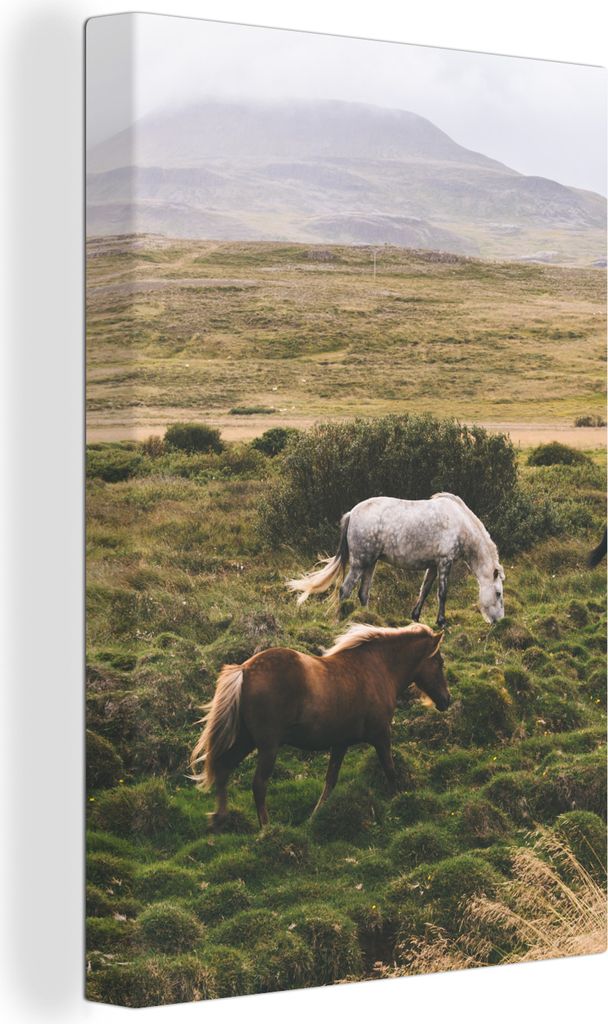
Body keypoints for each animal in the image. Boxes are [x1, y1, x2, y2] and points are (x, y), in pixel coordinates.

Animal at [190, 622, 449, 828]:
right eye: (440, 662)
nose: (447, 700)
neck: (377, 667)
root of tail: (244, 670)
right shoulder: (381, 734)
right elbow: (390, 770)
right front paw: (397, 802)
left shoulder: (340, 743)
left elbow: (330, 781)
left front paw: (315, 816)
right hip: (267, 747)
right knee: (258, 784)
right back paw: (266, 828)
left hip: (246, 740)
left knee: (223, 767)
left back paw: (219, 818)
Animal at [287, 492, 505, 627]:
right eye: (498, 593)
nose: (498, 621)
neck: (460, 523)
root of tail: (352, 513)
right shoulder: (445, 562)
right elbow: (442, 593)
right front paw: (442, 622)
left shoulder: (434, 565)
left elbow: (425, 590)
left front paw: (415, 616)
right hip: (360, 563)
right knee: (345, 590)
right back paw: (343, 618)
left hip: (371, 563)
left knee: (363, 593)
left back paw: (368, 620)